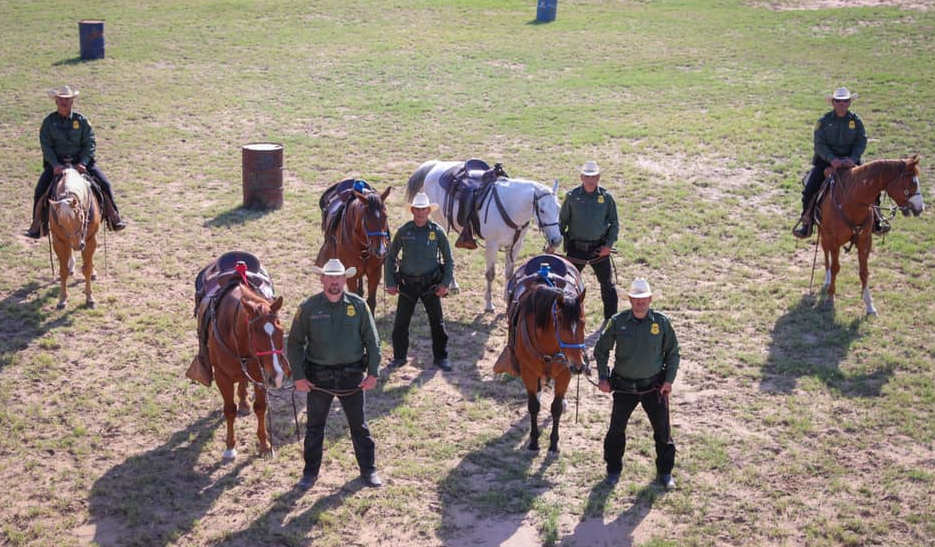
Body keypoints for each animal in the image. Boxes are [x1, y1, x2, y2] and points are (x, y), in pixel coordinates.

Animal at [47, 167, 100, 310]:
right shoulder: (59, 242)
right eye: (60, 223)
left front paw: (89, 298)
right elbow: (63, 271)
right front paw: (62, 299)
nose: (77, 245)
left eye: (81, 216)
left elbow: (86, 269)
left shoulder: (90, 240)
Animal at [203, 272, 290, 458]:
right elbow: (229, 410)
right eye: (255, 334)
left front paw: (265, 445)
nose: (278, 377)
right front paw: (230, 447)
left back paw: (244, 402)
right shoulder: (222, 377)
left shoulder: (261, 376)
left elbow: (260, 407)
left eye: (281, 330)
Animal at [404, 159, 564, 312]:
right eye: (542, 210)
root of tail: (436, 165)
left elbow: (509, 272)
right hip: (441, 225)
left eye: (558, 208)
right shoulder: (492, 245)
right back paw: (453, 284)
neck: (511, 206)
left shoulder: (516, 245)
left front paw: (507, 297)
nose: (557, 240)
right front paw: (488, 304)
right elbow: (490, 274)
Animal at [500, 256, 588, 454]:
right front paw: (534, 441)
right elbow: (533, 406)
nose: (578, 366)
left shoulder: (564, 373)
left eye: (583, 323)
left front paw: (554, 443)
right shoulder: (528, 372)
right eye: (561, 325)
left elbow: (555, 408)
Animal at [816, 156, 924, 314]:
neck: (851, 201)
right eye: (911, 182)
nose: (921, 208)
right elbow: (836, 267)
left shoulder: (865, 240)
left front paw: (869, 304)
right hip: (824, 235)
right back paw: (827, 280)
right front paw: (830, 296)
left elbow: (864, 272)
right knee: (826, 253)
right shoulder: (834, 241)